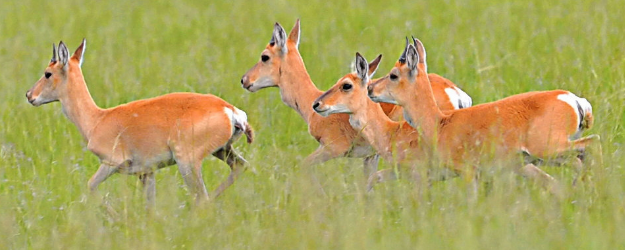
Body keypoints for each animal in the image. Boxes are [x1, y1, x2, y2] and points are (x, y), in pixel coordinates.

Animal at [24, 39, 254, 205]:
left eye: (48, 73)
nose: (29, 95)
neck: (98, 119)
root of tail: (229, 109)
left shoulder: (111, 164)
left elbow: (90, 186)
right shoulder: (146, 174)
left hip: (188, 163)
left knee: (202, 198)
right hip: (223, 151)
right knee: (240, 168)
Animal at [368, 37, 596, 193]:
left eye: (393, 74)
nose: (370, 88)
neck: (441, 122)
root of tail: (573, 100)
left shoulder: (469, 173)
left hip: (550, 149)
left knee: (592, 145)